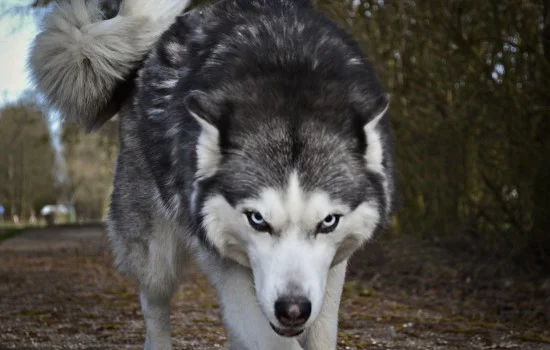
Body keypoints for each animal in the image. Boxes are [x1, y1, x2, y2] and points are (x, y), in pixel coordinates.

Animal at [29, 0, 396, 348]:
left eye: (328, 221)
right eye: (257, 219)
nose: (292, 309)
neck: (289, 77)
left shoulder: (331, 270)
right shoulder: (222, 260)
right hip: (156, 257)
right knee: (154, 308)